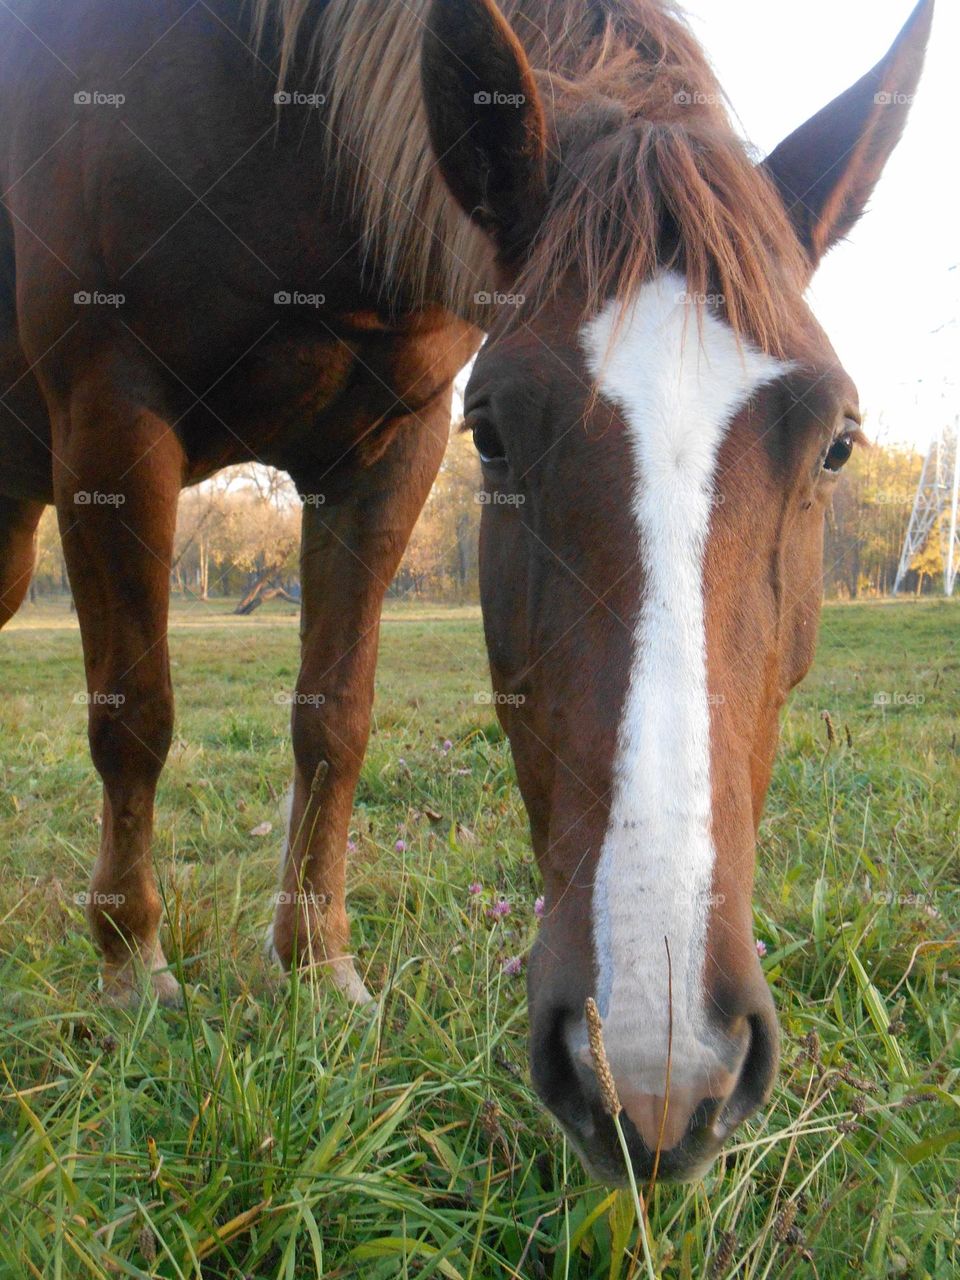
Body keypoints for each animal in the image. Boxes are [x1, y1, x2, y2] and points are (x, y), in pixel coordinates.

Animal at [0, 0, 931, 1182]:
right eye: (494, 433)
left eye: (838, 442)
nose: (655, 1070)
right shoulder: (112, 417)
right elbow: (137, 721)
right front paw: (131, 969)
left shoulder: (388, 447)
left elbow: (334, 720)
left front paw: (318, 971)